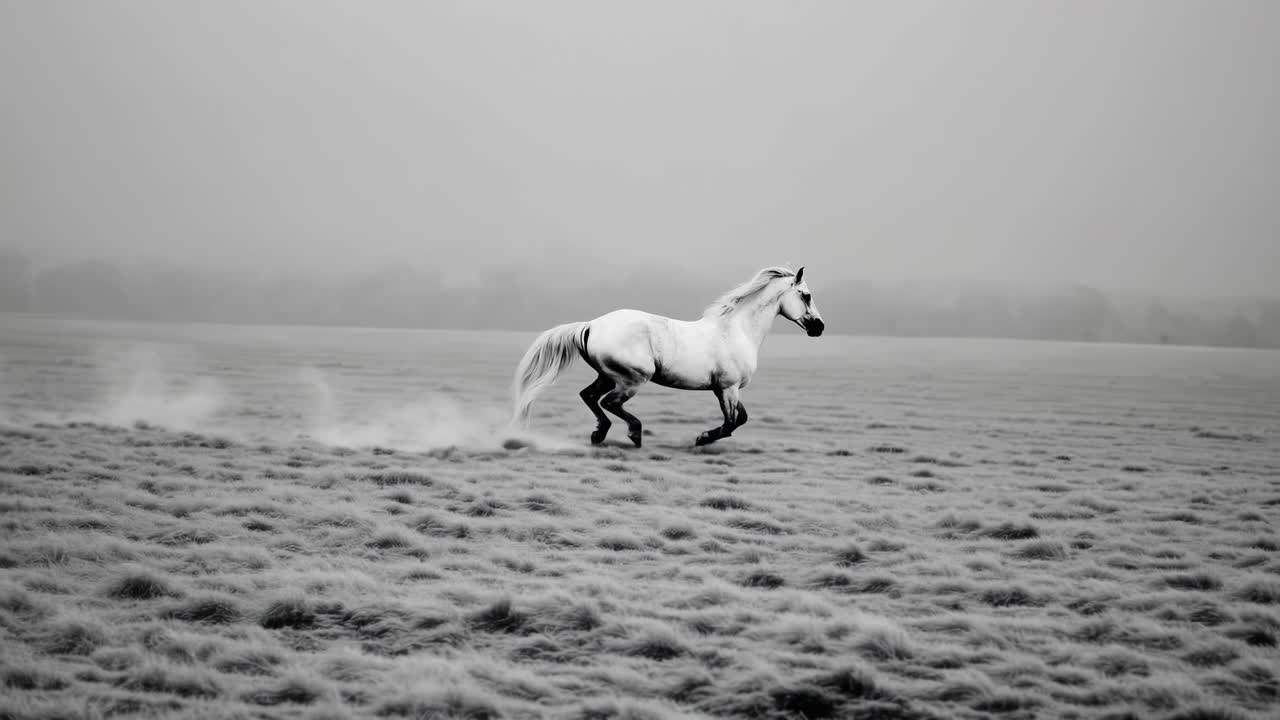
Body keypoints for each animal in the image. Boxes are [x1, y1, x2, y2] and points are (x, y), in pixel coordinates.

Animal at [511, 266, 825, 447]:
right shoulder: (727, 388)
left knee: (589, 396)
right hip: (633, 378)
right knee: (610, 402)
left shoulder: (728, 389)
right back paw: (633, 434)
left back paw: (600, 434)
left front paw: (704, 437)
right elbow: (731, 424)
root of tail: (591, 325)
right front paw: (702, 438)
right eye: (806, 295)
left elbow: (741, 419)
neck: (736, 331)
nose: (819, 328)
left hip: (607, 375)